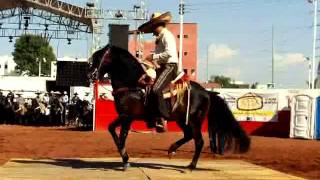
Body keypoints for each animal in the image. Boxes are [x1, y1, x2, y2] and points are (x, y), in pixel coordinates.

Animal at [87, 45, 250, 170]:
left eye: (99, 57)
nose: (91, 75)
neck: (133, 85)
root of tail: (207, 92)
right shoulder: (125, 117)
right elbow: (117, 132)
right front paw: (125, 159)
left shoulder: (127, 116)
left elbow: (118, 134)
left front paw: (126, 160)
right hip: (181, 120)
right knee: (188, 135)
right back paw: (172, 150)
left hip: (194, 121)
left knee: (198, 141)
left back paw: (191, 165)